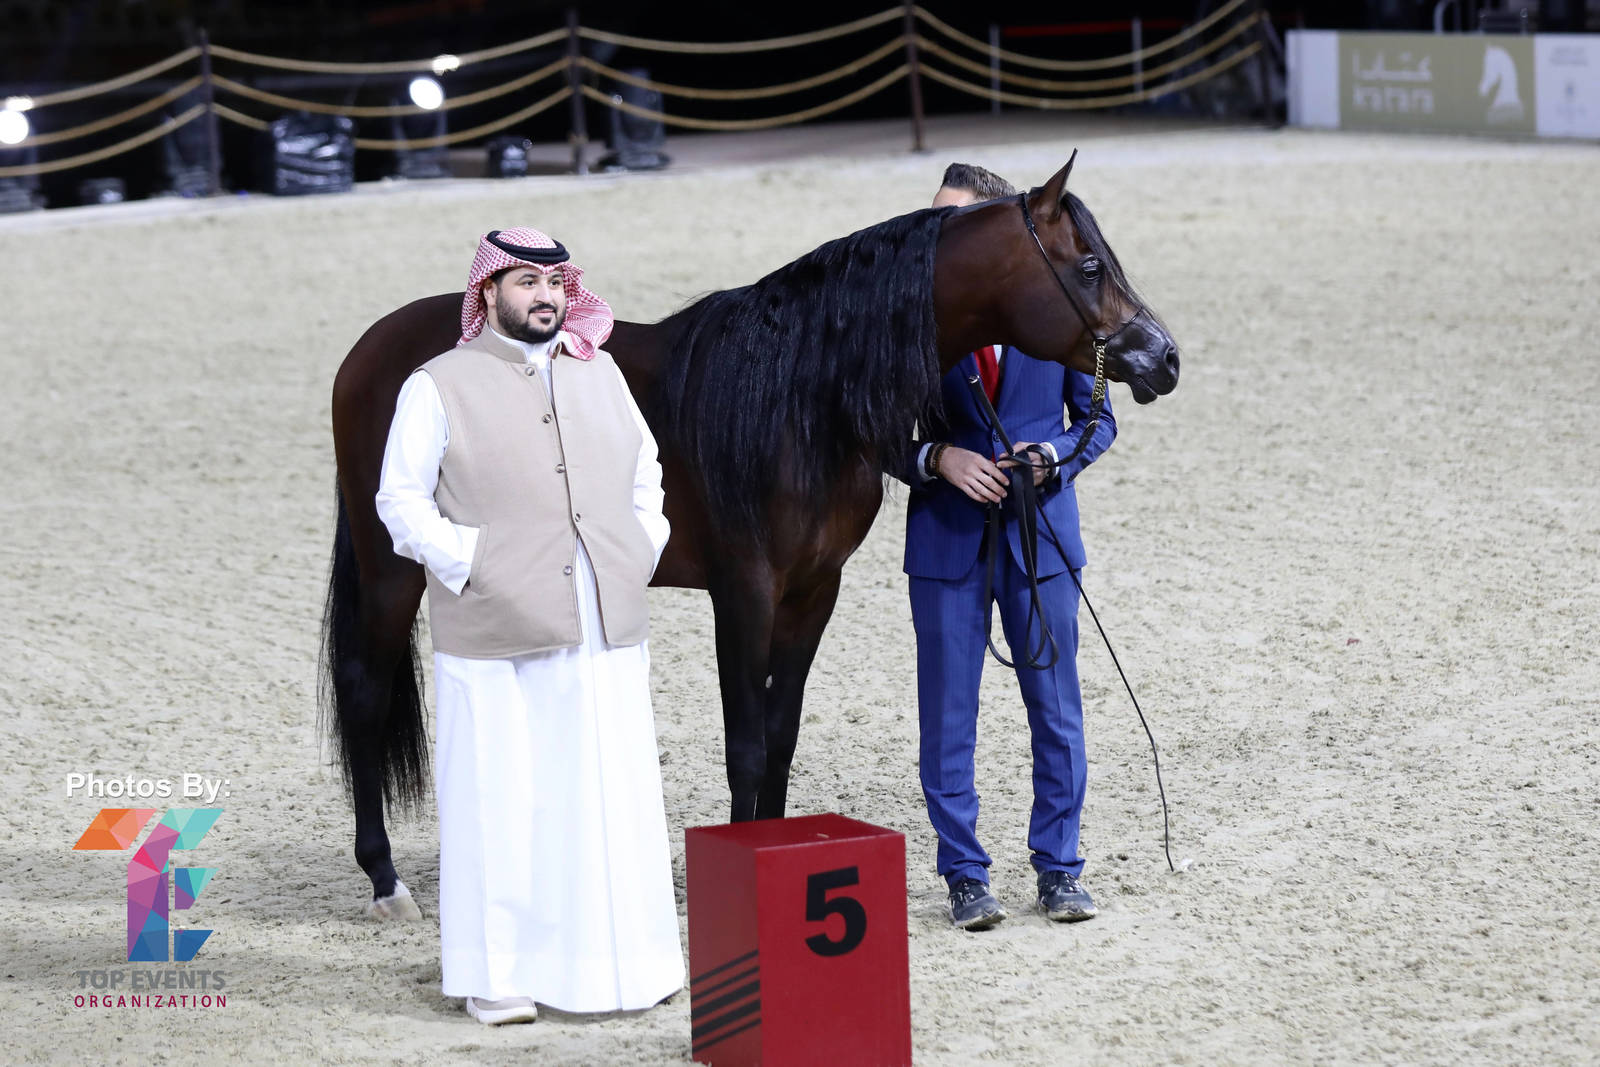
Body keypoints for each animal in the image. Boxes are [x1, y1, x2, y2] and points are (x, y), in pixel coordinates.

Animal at [321, 155, 1180, 916]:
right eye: (1091, 264)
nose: (1164, 357)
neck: (799, 392)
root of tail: (369, 350)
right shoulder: (743, 591)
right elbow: (745, 741)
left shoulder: (812, 591)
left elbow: (780, 733)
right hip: (394, 567)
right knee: (364, 691)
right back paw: (385, 881)